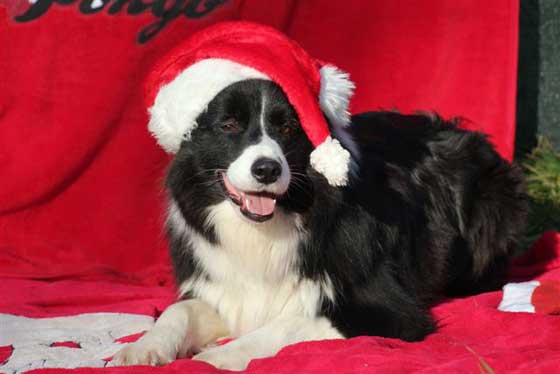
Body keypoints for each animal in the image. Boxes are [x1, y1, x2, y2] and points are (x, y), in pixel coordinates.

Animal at [111, 77, 528, 370]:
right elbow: (178, 311)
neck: (266, 229)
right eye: (228, 124)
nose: (267, 169)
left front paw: (218, 358)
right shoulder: (227, 291)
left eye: (288, 129)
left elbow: (288, 324)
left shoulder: (390, 309)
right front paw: (143, 347)